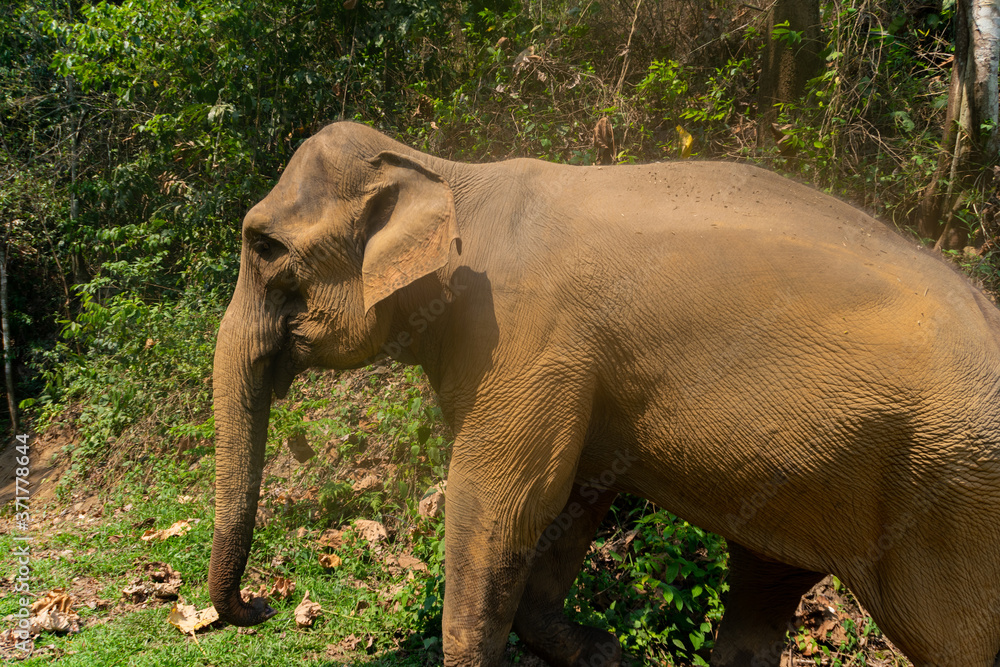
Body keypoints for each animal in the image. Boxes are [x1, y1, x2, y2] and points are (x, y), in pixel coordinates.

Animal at [209, 121, 1000, 666]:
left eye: (265, 247)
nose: (265, 605)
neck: (450, 174)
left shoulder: (522, 336)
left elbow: (501, 498)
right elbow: (575, 498)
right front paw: (599, 651)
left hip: (953, 495)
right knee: (764, 586)